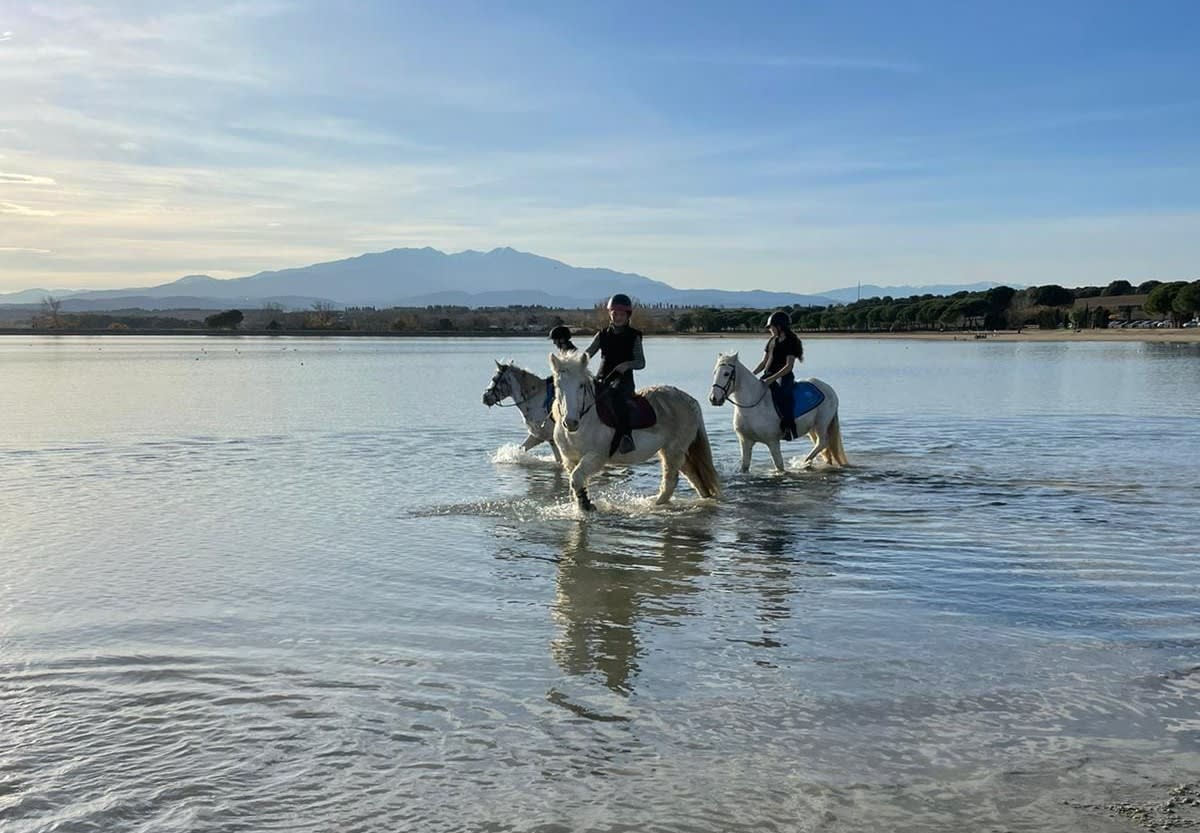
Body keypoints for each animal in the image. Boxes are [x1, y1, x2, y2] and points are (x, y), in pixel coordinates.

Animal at [547, 350, 720, 511]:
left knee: (671, 481)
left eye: (581, 385)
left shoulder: (596, 457)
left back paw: (654, 505)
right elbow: (577, 482)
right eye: (557, 385)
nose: (570, 422)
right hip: (677, 452)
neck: (583, 423)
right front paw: (583, 504)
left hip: (673, 450)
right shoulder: (570, 459)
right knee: (695, 478)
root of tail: (690, 401)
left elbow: (576, 478)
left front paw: (587, 507)